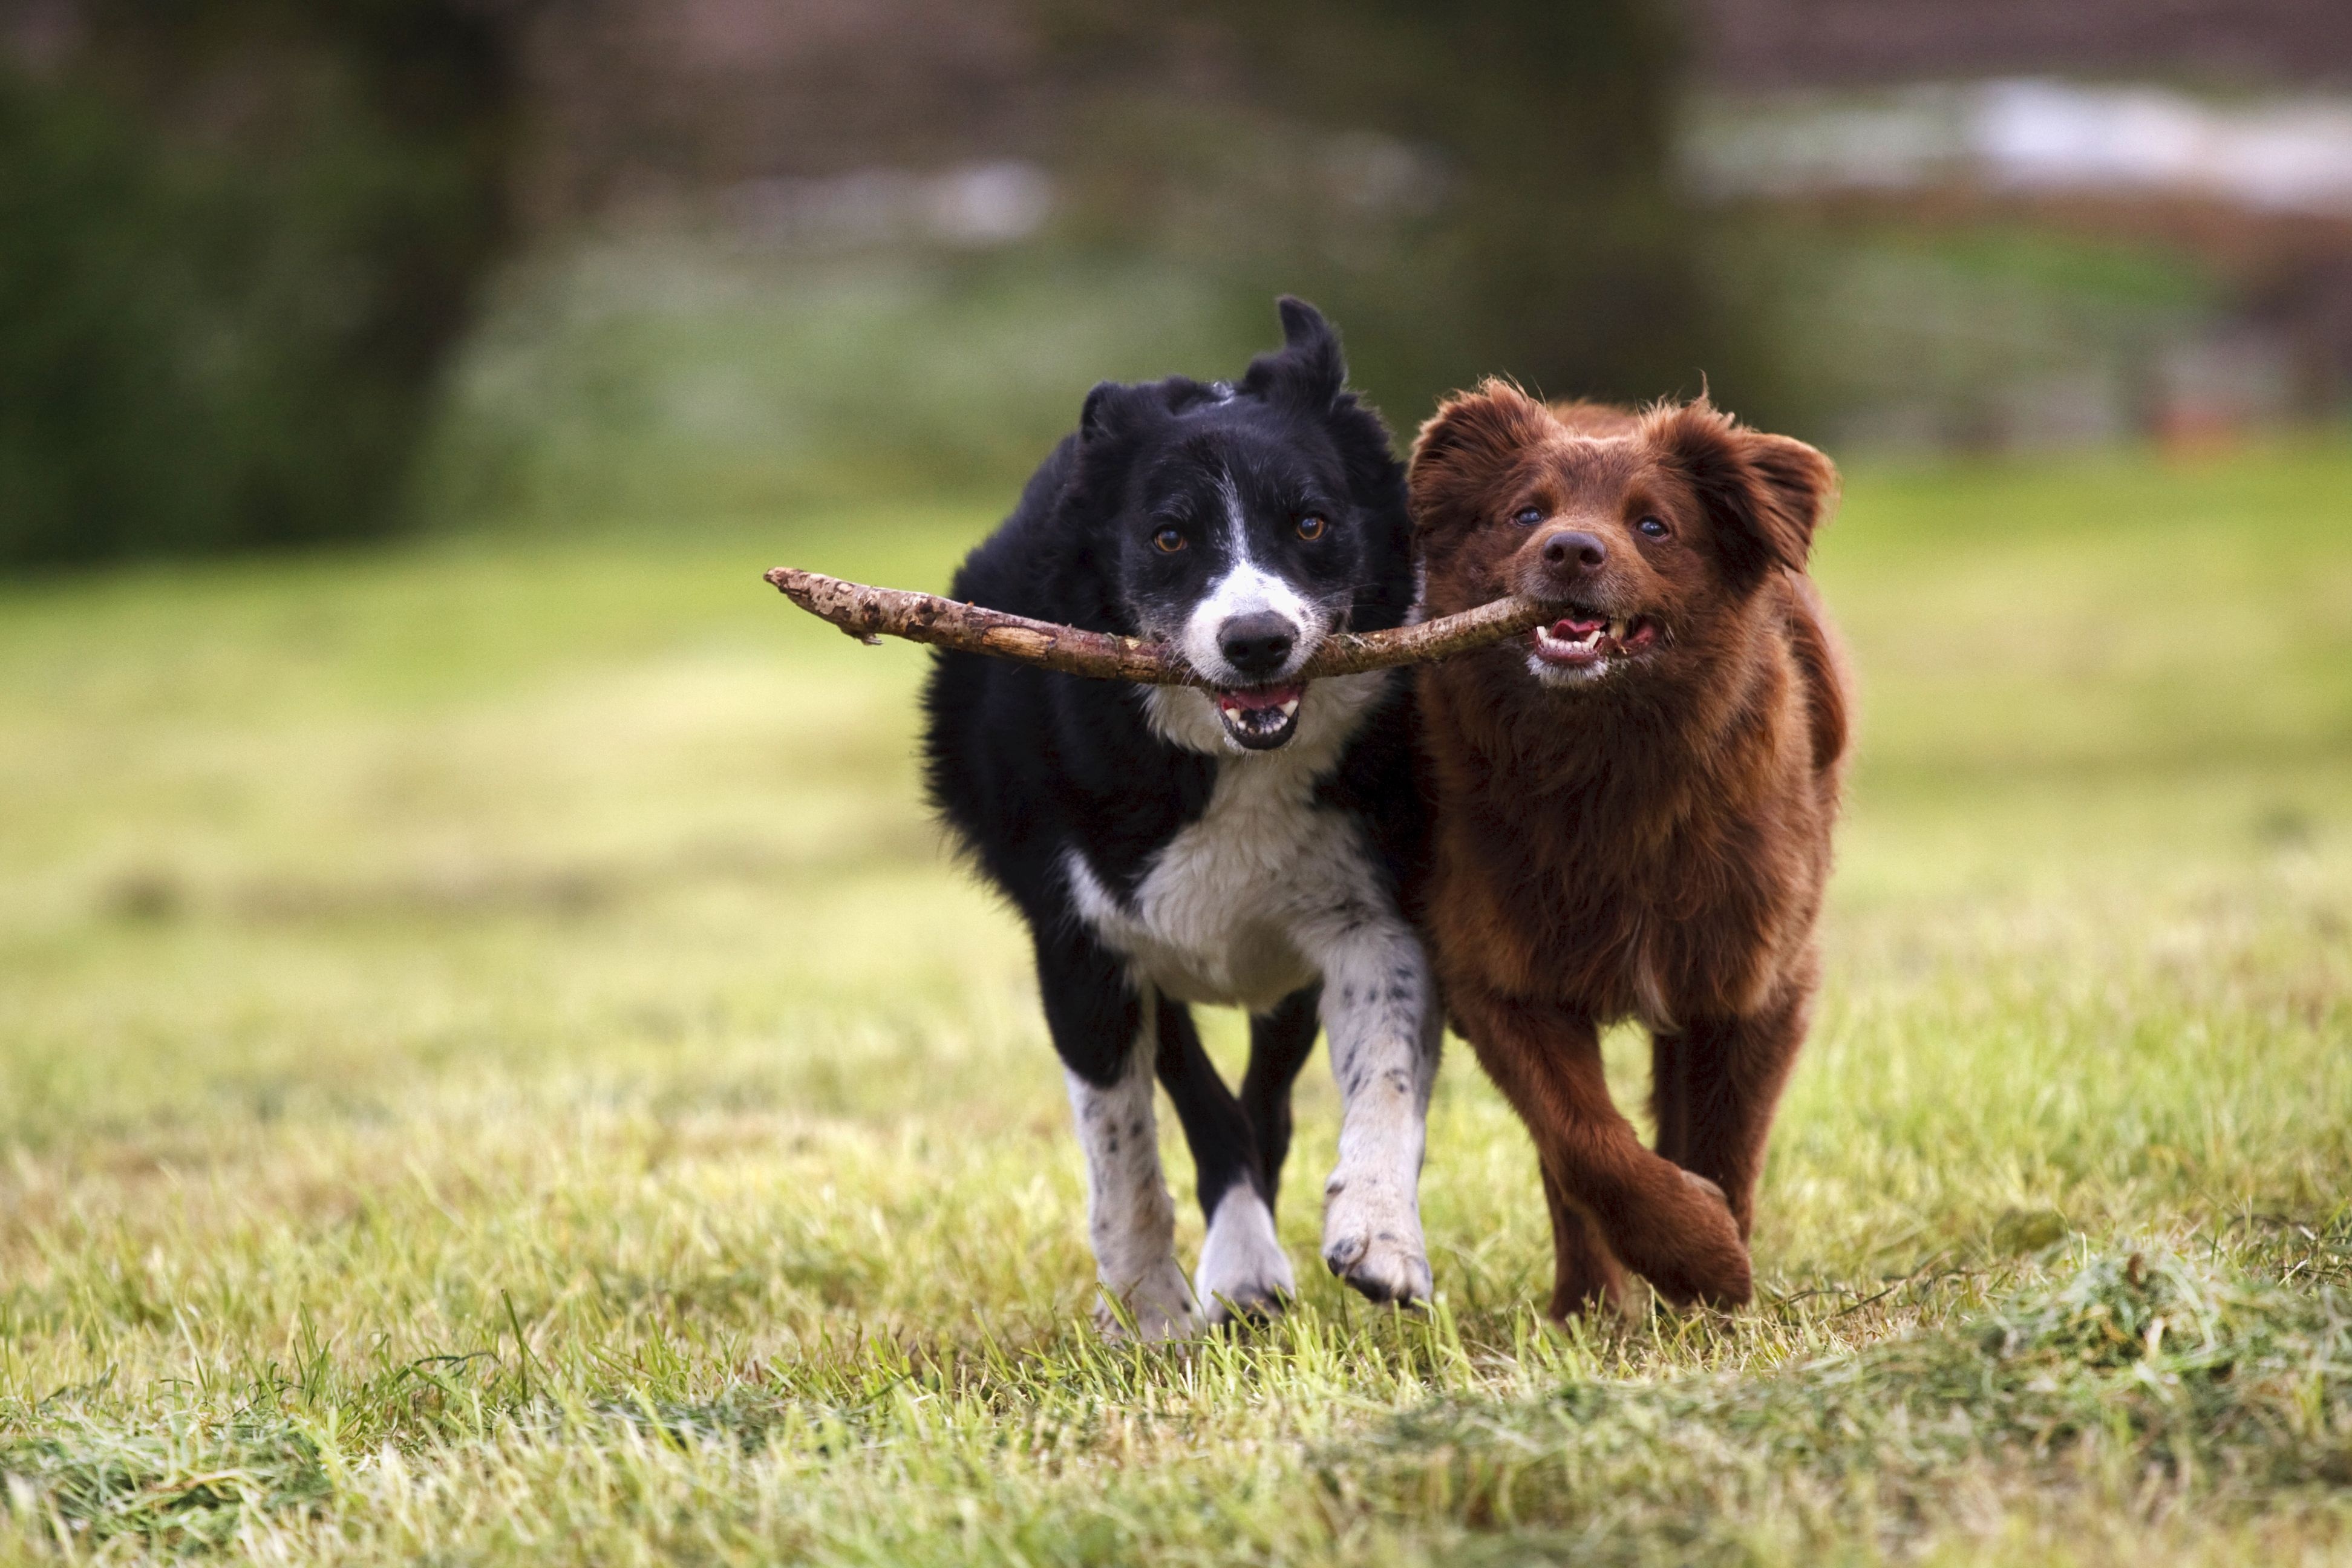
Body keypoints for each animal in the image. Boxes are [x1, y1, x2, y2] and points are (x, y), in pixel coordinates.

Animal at [1402, 385, 1844, 1316]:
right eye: (1526, 513)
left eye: (1653, 525)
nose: (1571, 549)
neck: (1609, 766)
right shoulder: (1501, 975)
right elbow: (1584, 1143)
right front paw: (1694, 1256)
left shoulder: (1754, 980)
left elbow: (1725, 1141)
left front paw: (1718, 1283)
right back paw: (1589, 1307)